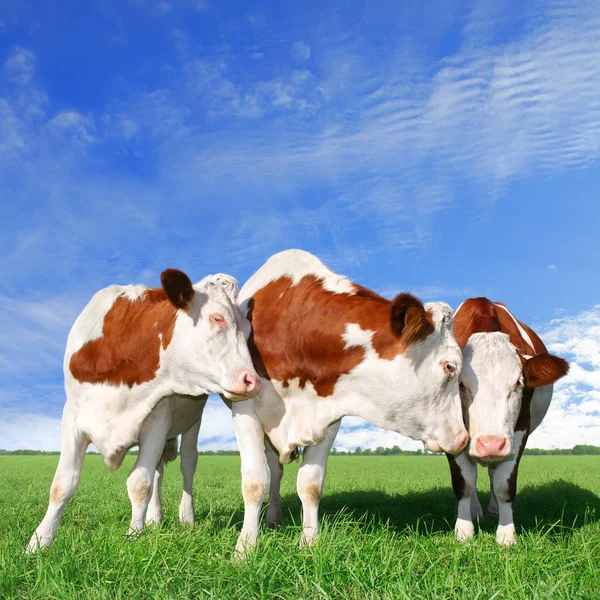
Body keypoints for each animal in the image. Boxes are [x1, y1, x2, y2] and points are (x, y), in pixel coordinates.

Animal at [27, 270, 258, 552]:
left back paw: (186, 517)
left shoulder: (157, 420)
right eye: (217, 318)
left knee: (187, 463)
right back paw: (154, 518)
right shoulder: (73, 416)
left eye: (248, 329)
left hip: (192, 421)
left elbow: (139, 483)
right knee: (159, 470)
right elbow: (62, 484)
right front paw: (39, 541)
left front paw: (134, 536)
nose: (252, 380)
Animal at [227, 248, 466, 552]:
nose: (463, 438)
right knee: (273, 471)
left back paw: (274, 519)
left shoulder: (328, 416)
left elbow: (310, 484)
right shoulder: (245, 408)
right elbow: (255, 482)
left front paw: (309, 543)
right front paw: (245, 548)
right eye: (450, 367)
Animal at [450, 298, 568, 548]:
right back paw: (475, 510)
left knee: (493, 473)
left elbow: (504, 483)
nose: (491, 444)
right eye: (461, 385)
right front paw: (464, 531)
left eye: (518, 383)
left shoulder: (520, 429)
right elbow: (464, 482)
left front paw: (506, 534)